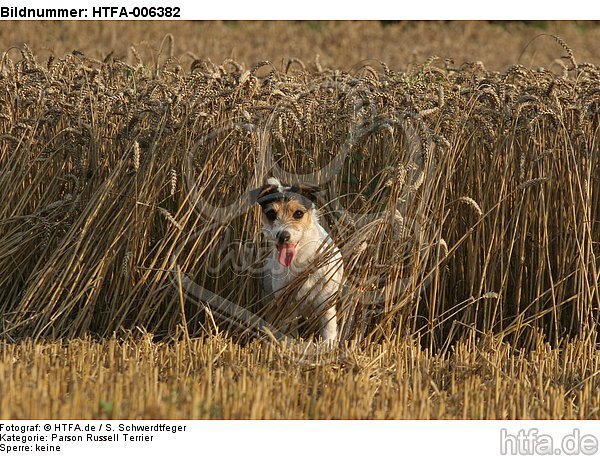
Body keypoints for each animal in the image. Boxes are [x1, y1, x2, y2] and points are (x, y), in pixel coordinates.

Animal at [248, 178, 342, 342]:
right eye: (271, 213)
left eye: (298, 213)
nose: (283, 236)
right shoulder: (287, 309)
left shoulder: (326, 308)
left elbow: (328, 336)